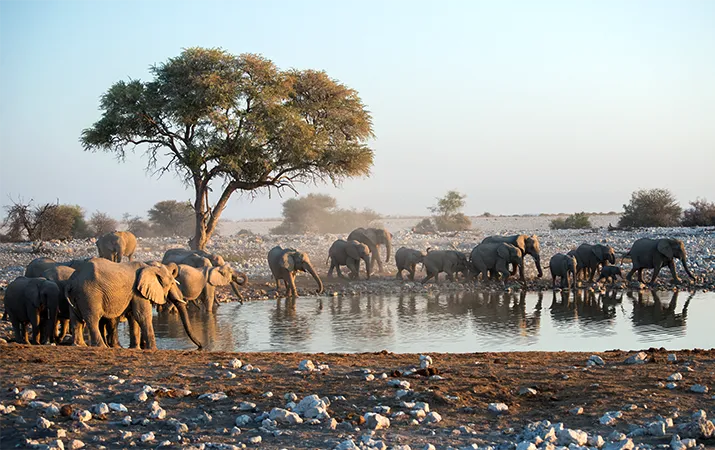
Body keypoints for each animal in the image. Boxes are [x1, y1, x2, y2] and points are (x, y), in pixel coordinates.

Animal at [65, 258, 202, 349]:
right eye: (172, 283)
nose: (201, 346)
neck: (149, 266)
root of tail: (72, 280)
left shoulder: (134, 292)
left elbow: (133, 316)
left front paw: (135, 348)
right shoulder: (138, 292)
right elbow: (142, 315)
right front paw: (153, 349)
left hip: (78, 295)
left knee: (76, 319)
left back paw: (79, 345)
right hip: (90, 294)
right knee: (92, 319)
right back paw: (102, 347)